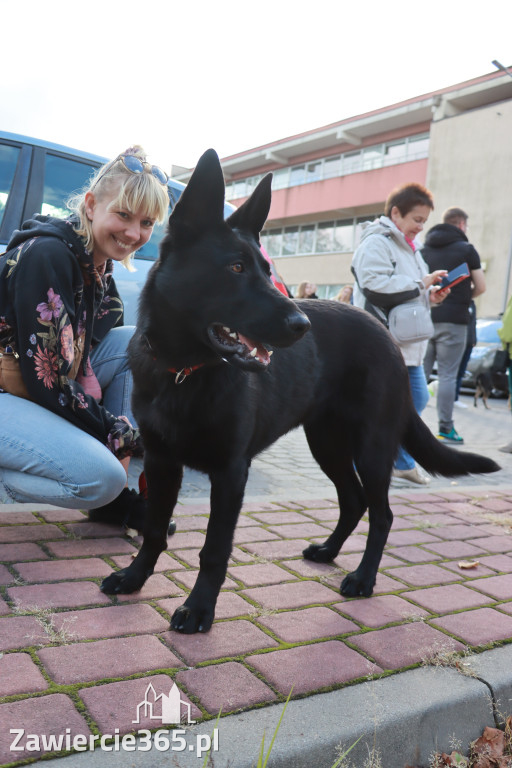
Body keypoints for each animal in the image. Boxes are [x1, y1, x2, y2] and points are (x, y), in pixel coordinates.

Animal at [100, 148, 500, 632]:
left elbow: (214, 549)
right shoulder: (161, 462)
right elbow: (155, 530)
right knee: (353, 501)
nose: (301, 325)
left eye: (266, 270)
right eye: (236, 267)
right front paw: (134, 577)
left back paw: (363, 578)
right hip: (327, 443)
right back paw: (328, 551)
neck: (185, 372)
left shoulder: (230, 472)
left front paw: (198, 609)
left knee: (382, 512)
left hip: (372, 446)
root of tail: (386, 334)